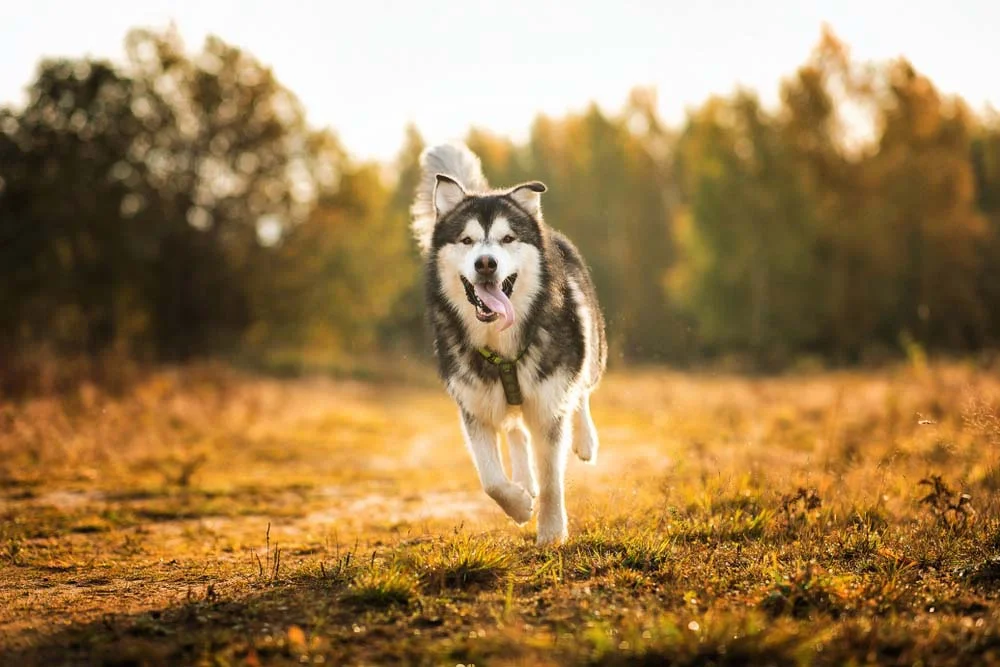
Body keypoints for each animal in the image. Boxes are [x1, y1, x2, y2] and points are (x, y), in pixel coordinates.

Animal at [410, 144, 604, 544]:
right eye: (467, 240)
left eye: (508, 239)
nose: (485, 263)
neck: (500, 347)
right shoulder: (473, 407)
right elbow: (491, 481)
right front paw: (519, 505)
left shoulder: (549, 404)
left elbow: (552, 479)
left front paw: (551, 532)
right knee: (515, 431)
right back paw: (524, 480)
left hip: (592, 351)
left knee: (581, 393)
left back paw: (585, 441)